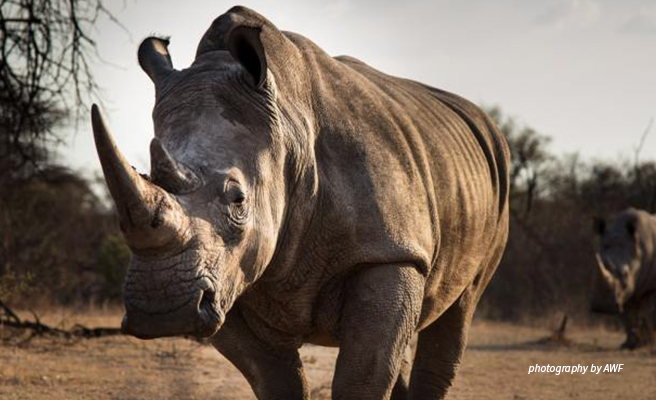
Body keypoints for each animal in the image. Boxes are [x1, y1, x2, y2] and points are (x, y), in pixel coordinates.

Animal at [91, 6, 510, 399]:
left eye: (238, 199)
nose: (161, 310)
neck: (288, 131)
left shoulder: (390, 252)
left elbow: (362, 380)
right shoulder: (227, 282)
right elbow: (278, 381)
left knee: (459, 310)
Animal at [592, 208, 656, 349]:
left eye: (625, 273)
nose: (602, 307)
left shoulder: (650, 287)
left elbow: (649, 313)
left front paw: (648, 344)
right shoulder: (623, 293)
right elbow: (627, 316)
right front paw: (629, 344)